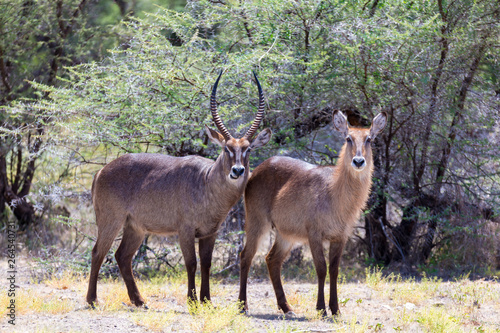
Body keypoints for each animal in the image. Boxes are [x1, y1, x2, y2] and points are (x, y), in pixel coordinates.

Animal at [87, 71, 274, 308]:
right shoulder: (185, 230)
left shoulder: (210, 232)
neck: (206, 182)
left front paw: (206, 300)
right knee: (98, 252)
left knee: (122, 256)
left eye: (248, 149)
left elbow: (206, 263)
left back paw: (139, 301)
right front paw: (193, 301)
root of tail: (102, 171)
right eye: (226, 148)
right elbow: (191, 263)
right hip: (111, 220)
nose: (238, 170)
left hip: (135, 227)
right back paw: (92, 300)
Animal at [237, 110, 386, 316]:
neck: (335, 193)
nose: (358, 161)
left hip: (285, 234)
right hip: (257, 223)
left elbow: (334, 270)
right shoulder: (314, 234)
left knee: (272, 259)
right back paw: (242, 306)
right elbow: (321, 268)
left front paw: (336, 309)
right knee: (246, 256)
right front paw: (321, 308)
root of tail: (258, 169)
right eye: (348, 138)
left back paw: (286, 308)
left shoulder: (340, 237)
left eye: (369, 139)